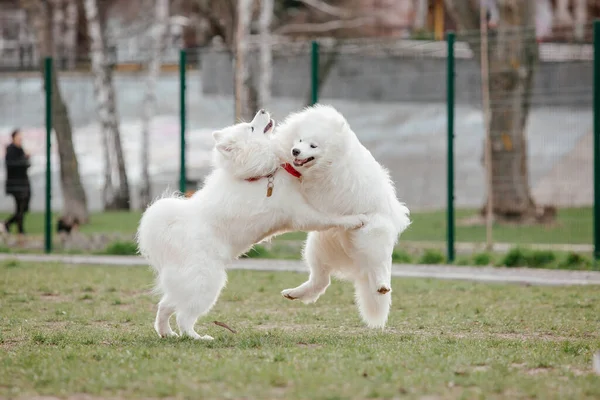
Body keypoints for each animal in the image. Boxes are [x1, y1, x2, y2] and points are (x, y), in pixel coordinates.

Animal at [137, 110, 366, 340]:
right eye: (252, 127)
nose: (262, 111)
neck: (259, 175)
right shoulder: (301, 213)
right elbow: (330, 217)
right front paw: (356, 219)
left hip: (185, 287)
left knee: (164, 306)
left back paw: (166, 333)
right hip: (206, 284)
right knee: (183, 316)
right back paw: (196, 337)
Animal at [274, 104, 410, 330]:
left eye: (313, 145)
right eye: (299, 140)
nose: (295, 151)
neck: (331, 159)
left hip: (371, 236)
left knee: (379, 265)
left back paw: (381, 285)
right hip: (318, 246)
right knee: (321, 281)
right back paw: (294, 293)